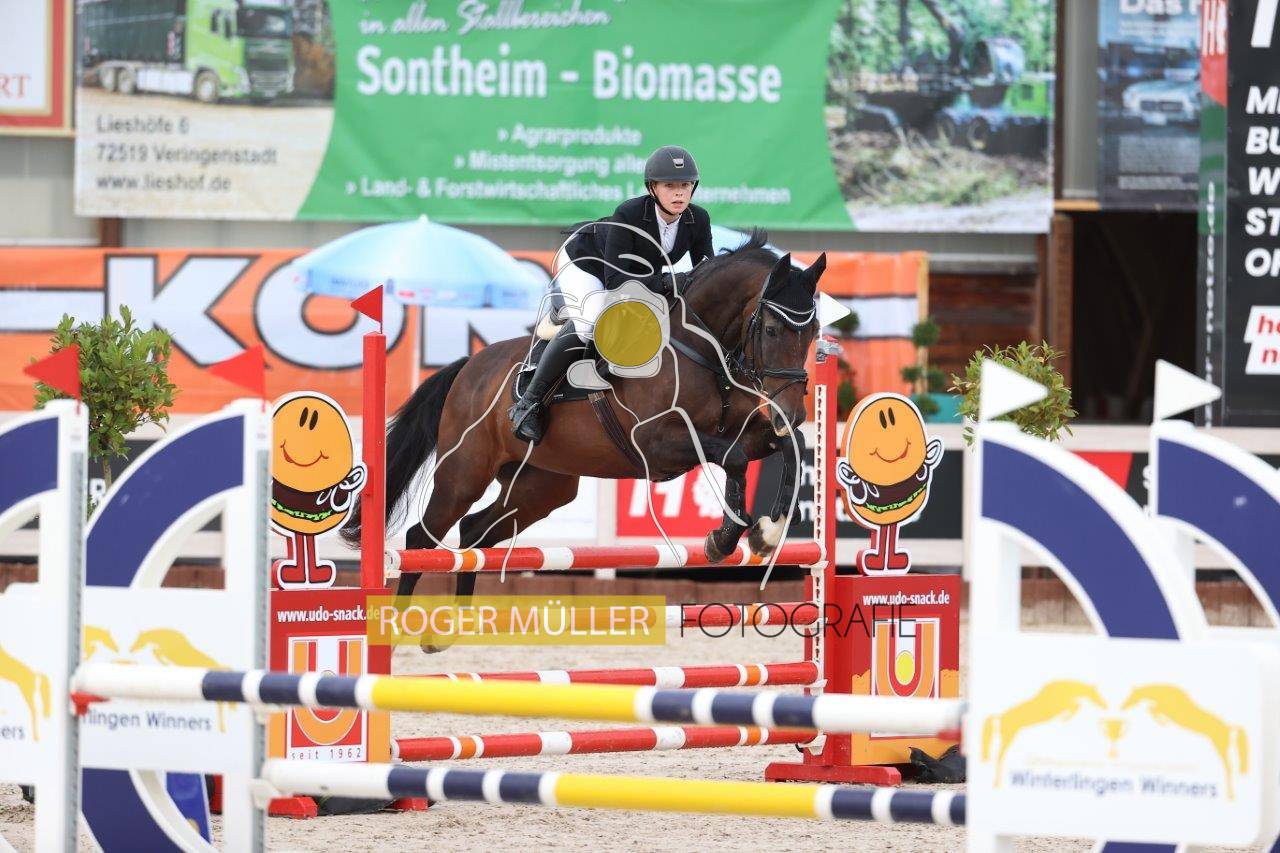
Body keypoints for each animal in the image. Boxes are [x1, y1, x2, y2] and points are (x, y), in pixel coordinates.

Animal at [343, 231, 826, 646]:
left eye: (814, 332)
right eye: (772, 330)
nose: (794, 413)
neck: (700, 348)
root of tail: (469, 366)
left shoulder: (741, 431)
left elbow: (784, 447)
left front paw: (768, 532)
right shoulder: (656, 443)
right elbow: (735, 459)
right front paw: (724, 540)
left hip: (540, 487)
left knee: (475, 533)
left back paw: (449, 632)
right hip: (463, 475)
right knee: (422, 537)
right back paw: (397, 631)